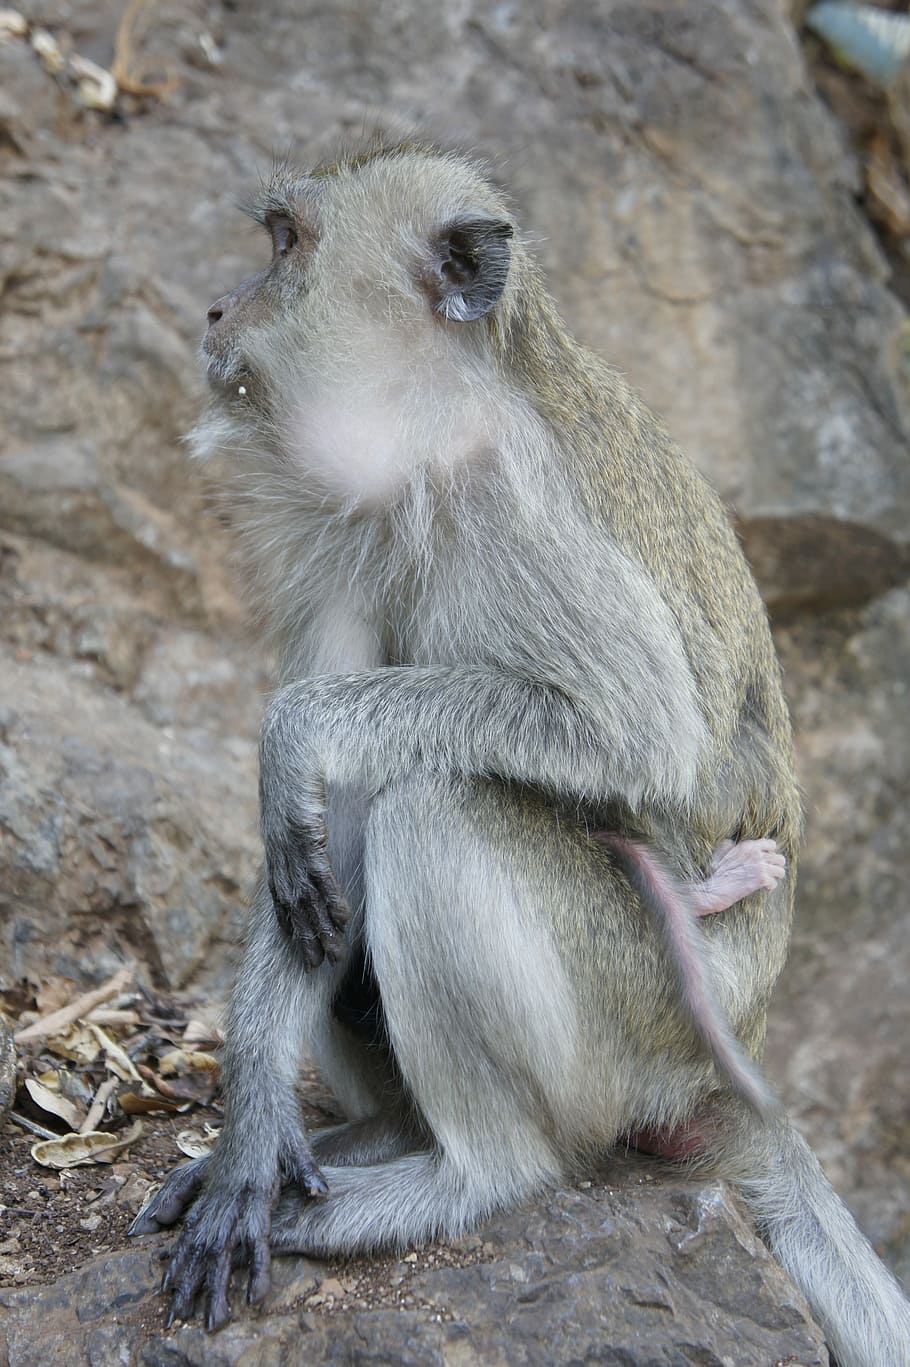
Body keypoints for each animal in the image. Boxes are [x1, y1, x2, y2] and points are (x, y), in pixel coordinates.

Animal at [131, 142, 910, 1364]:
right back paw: (367, 1135)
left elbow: (634, 730)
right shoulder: (349, 525)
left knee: (436, 810)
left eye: (284, 245)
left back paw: (464, 1175)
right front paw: (250, 1134)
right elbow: (314, 829)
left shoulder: (524, 510)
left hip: (638, 1021)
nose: (217, 305)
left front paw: (296, 727)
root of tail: (731, 1065)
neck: (440, 427)